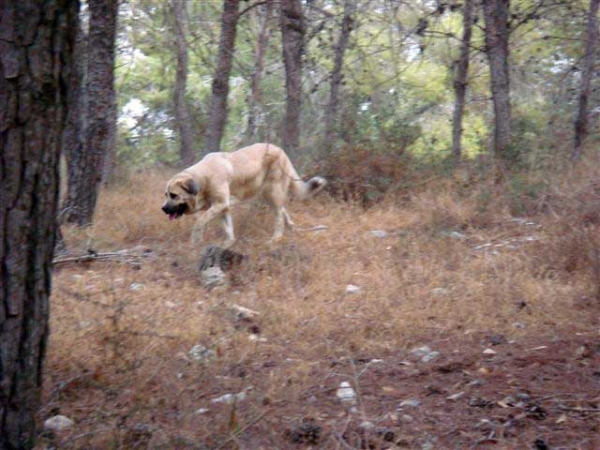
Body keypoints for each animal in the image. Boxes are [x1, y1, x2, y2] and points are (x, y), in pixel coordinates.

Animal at [162, 142, 326, 246]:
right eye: (166, 194)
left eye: (174, 195)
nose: (163, 209)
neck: (204, 179)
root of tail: (281, 150)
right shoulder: (224, 208)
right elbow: (228, 229)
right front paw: (228, 244)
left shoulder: (219, 204)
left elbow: (200, 222)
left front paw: (195, 241)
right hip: (266, 195)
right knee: (284, 213)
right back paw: (294, 229)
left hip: (273, 193)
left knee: (279, 219)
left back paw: (274, 240)